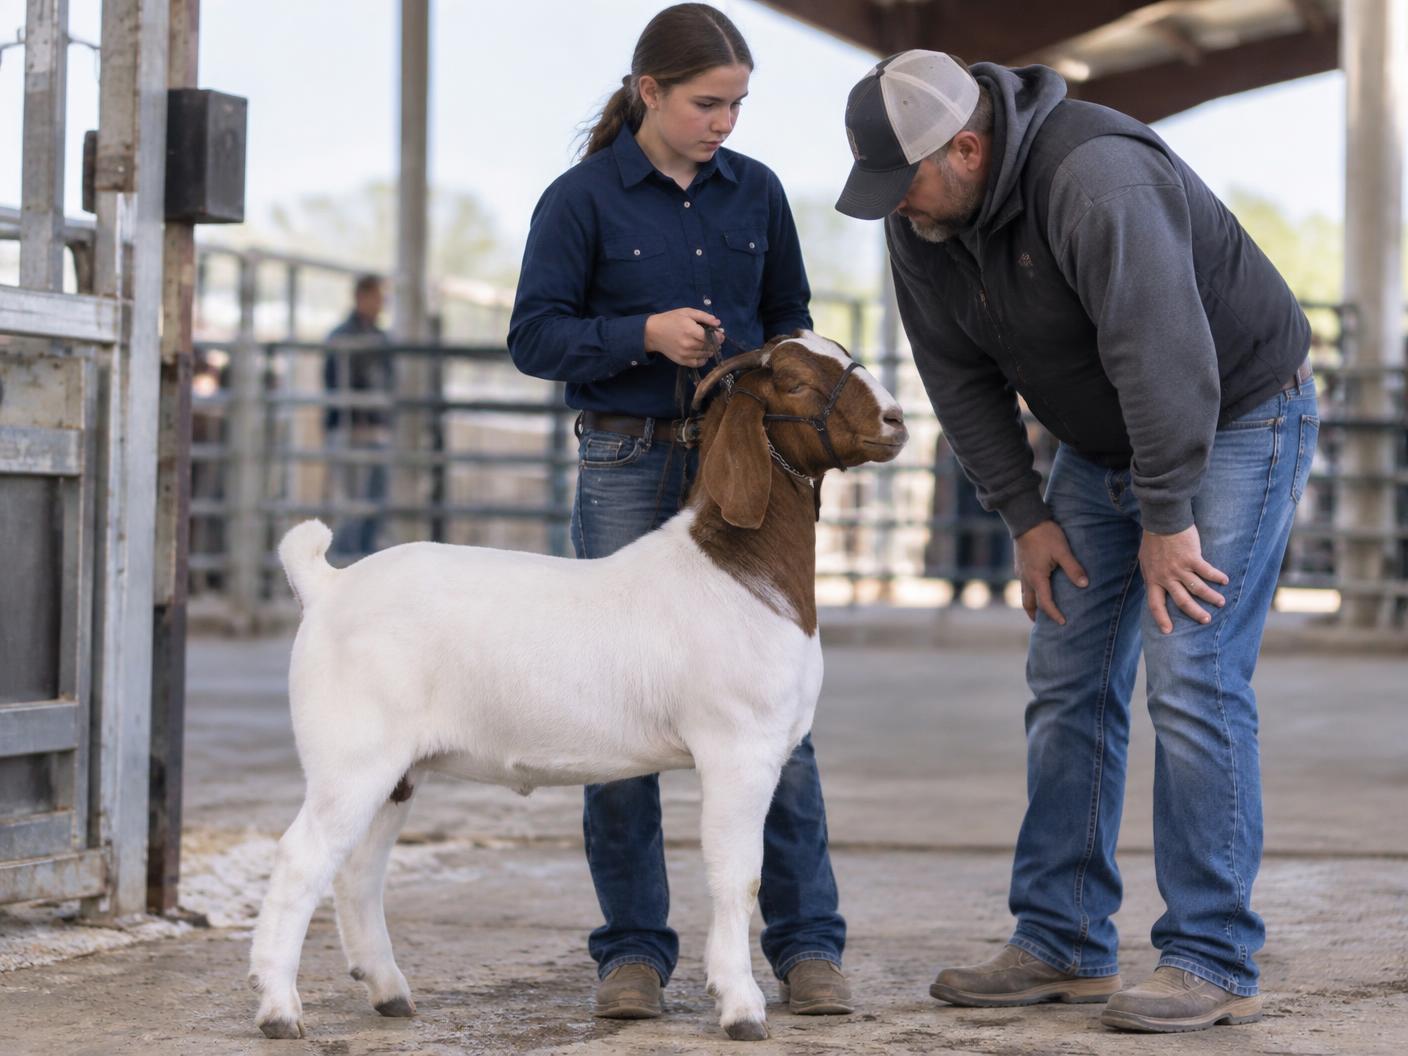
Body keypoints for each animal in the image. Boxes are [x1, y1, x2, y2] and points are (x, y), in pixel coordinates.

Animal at [248, 330, 907, 1042]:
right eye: (794, 381)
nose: (896, 421)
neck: (736, 570)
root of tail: (326, 586)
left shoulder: (776, 748)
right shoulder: (738, 750)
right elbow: (739, 879)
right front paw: (741, 1007)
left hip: (398, 768)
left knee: (359, 869)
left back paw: (389, 992)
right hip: (351, 754)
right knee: (302, 857)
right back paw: (280, 1009)